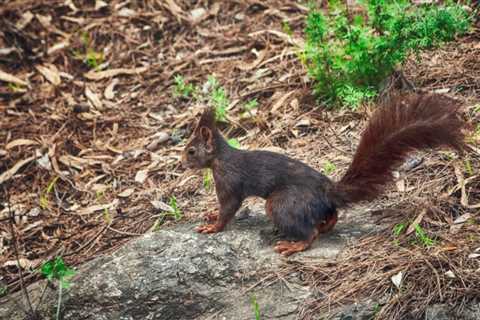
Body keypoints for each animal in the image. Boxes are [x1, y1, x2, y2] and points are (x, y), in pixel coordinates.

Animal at [180, 92, 464, 255]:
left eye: (191, 151)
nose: (181, 163)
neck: (220, 158)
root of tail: (328, 192)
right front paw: (209, 213)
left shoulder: (229, 181)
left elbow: (228, 208)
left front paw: (212, 226)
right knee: (331, 215)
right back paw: (326, 224)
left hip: (282, 203)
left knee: (310, 234)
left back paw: (295, 245)